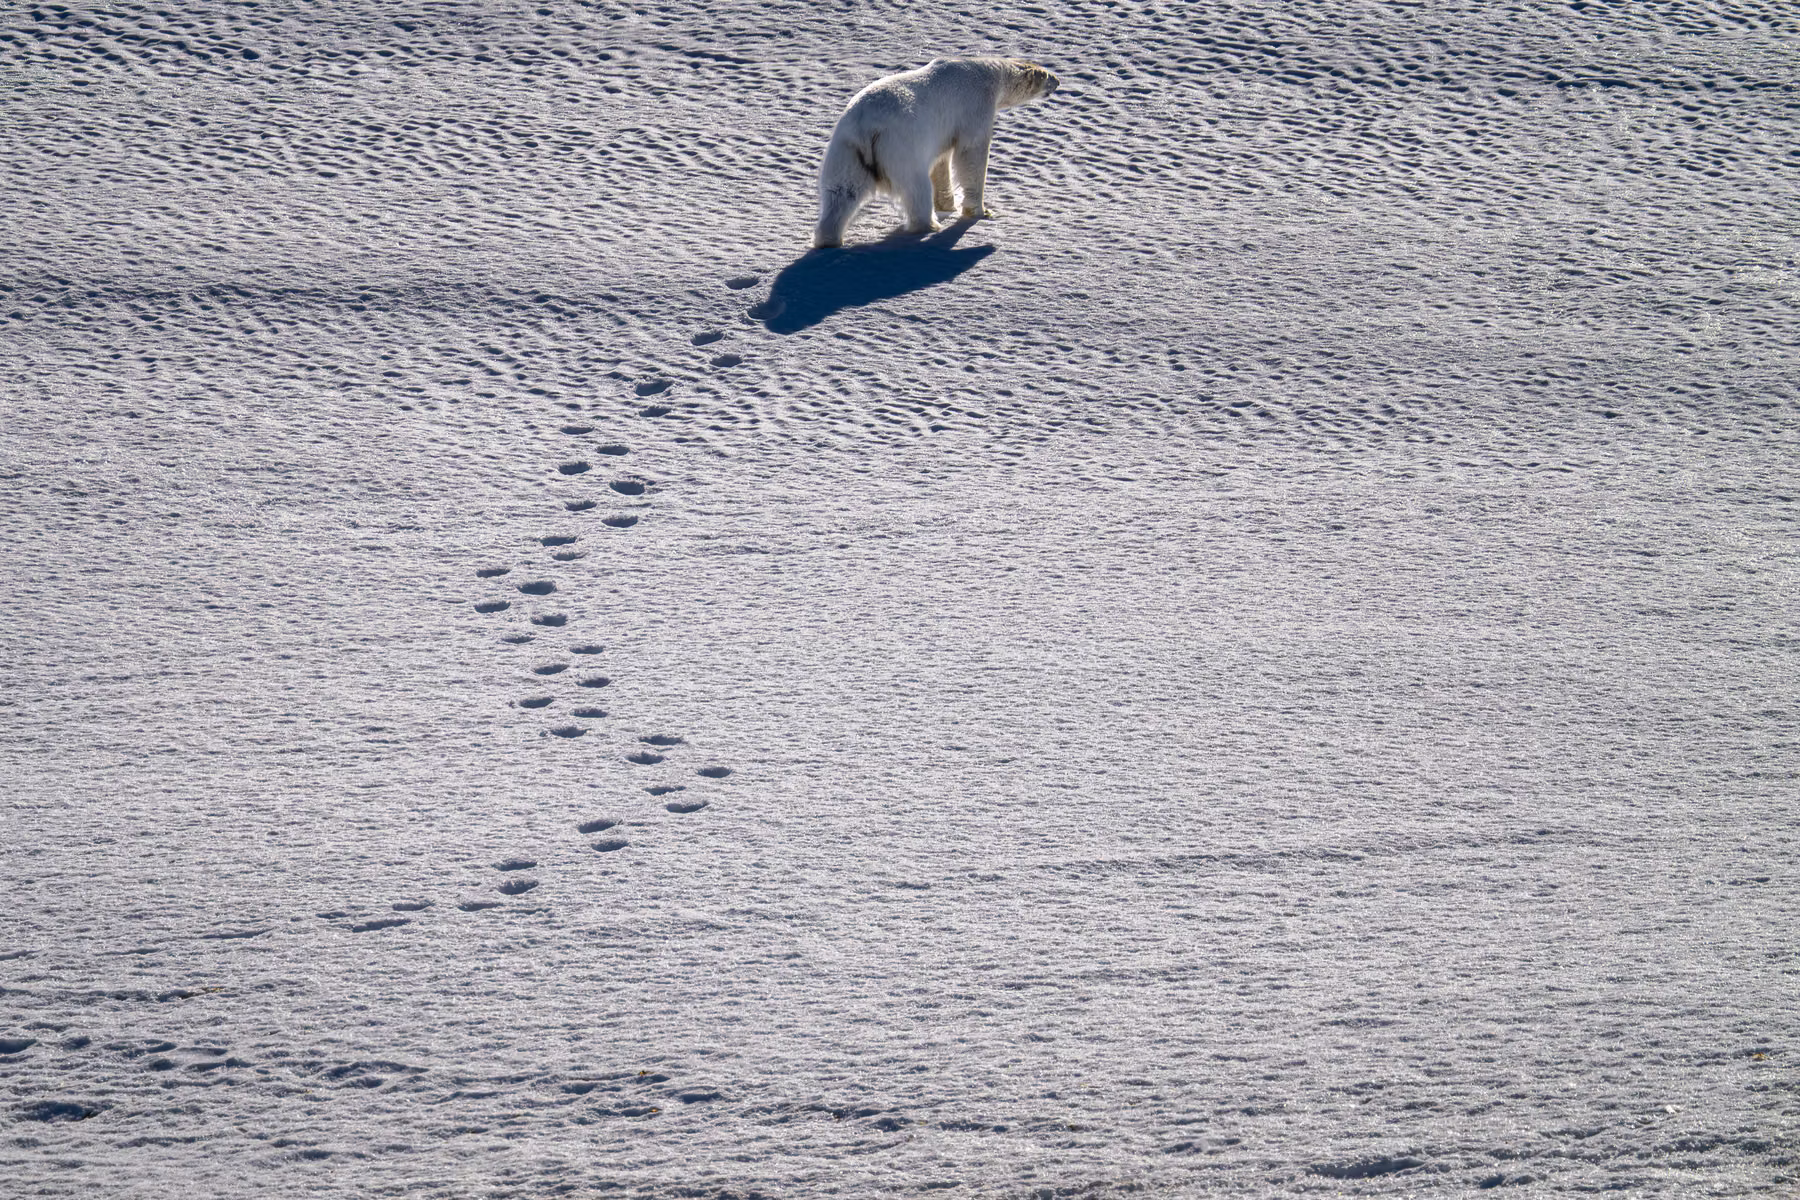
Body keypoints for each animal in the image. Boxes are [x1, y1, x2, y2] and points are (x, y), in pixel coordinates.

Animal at [813, 57, 1060, 249]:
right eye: (1047, 74)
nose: (1058, 81)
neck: (989, 72)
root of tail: (868, 128)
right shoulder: (975, 105)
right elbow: (972, 152)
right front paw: (981, 211)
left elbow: (941, 162)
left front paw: (947, 204)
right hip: (901, 147)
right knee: (916, 188)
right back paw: (929, 225)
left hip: (847, 149)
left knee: (841, 192)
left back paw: (829, 239)